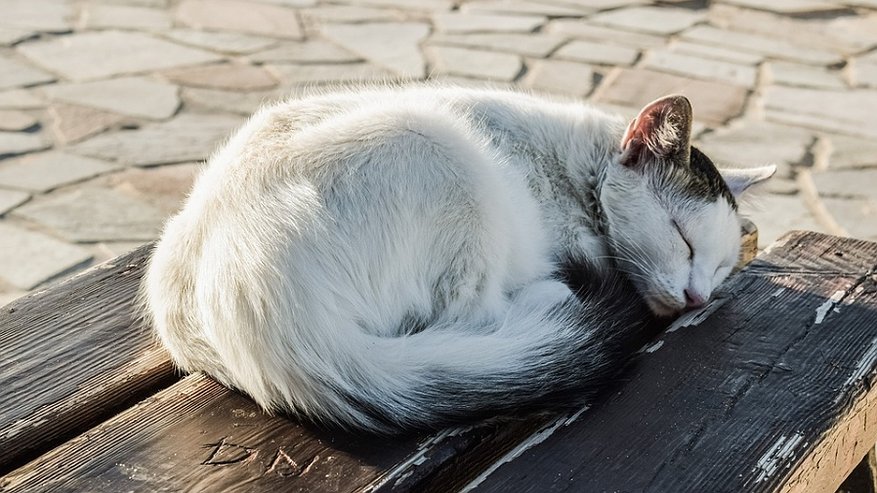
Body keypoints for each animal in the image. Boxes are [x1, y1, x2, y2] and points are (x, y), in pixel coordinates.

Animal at [139, 86, 772, 432]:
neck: (577, 175)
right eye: (683, 240)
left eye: (720, 270)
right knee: (473, 313)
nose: (696, 297)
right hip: (441, 152)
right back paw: (552, 293)